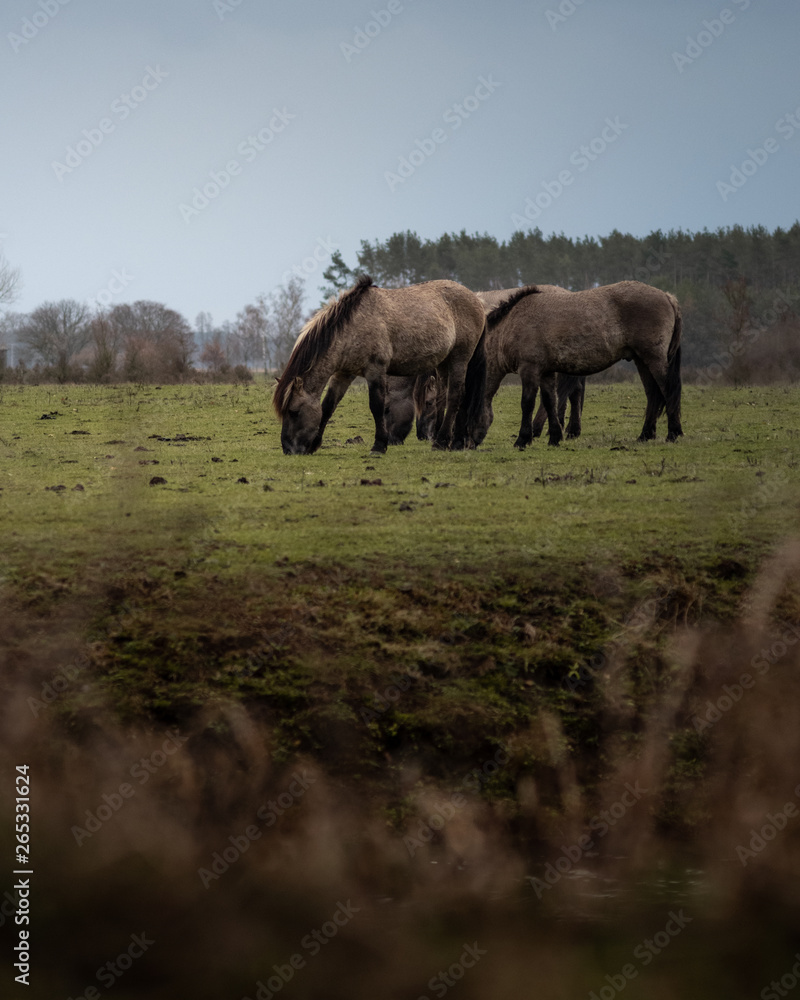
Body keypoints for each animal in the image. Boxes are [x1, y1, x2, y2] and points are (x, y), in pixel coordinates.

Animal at [273, 276, 487, 454]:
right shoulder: (343, 374)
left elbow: (376, 405)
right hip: (443, 364)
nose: (288, 449)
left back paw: (444, 442)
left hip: (460, 359)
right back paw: (448, 440)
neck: (352, 326)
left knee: (455, 396)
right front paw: (314, 444)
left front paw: (379, 445)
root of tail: (476, 299)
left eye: (293, 412)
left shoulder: (375, 370)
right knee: (444, 397)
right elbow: (328, 406)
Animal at [472, 281, 682, 448]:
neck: (513, 323)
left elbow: (527, 403)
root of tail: (668, 297)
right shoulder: (547, 372)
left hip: (654, 359)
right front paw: (555, 438)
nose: (468, 443)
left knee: (668, 390)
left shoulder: (529, 369)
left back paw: (673, 433)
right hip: (642, 362)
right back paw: (645, 435)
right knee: (653, 395)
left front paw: (523, 439)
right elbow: (550, 401)